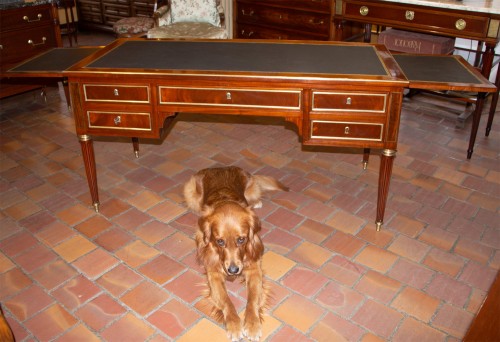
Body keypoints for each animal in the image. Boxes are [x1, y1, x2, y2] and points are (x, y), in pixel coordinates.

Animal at [184, 166, 288, 340]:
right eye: (220, 241)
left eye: (241, 239)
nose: (233, 270)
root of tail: (220, 167)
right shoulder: (214, 273)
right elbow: (226, 301)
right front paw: (234, 325)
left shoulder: (254, 268)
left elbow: (252, 299)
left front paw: (252, 324)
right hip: (191, 193)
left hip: (251, 189)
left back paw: (256, 202)